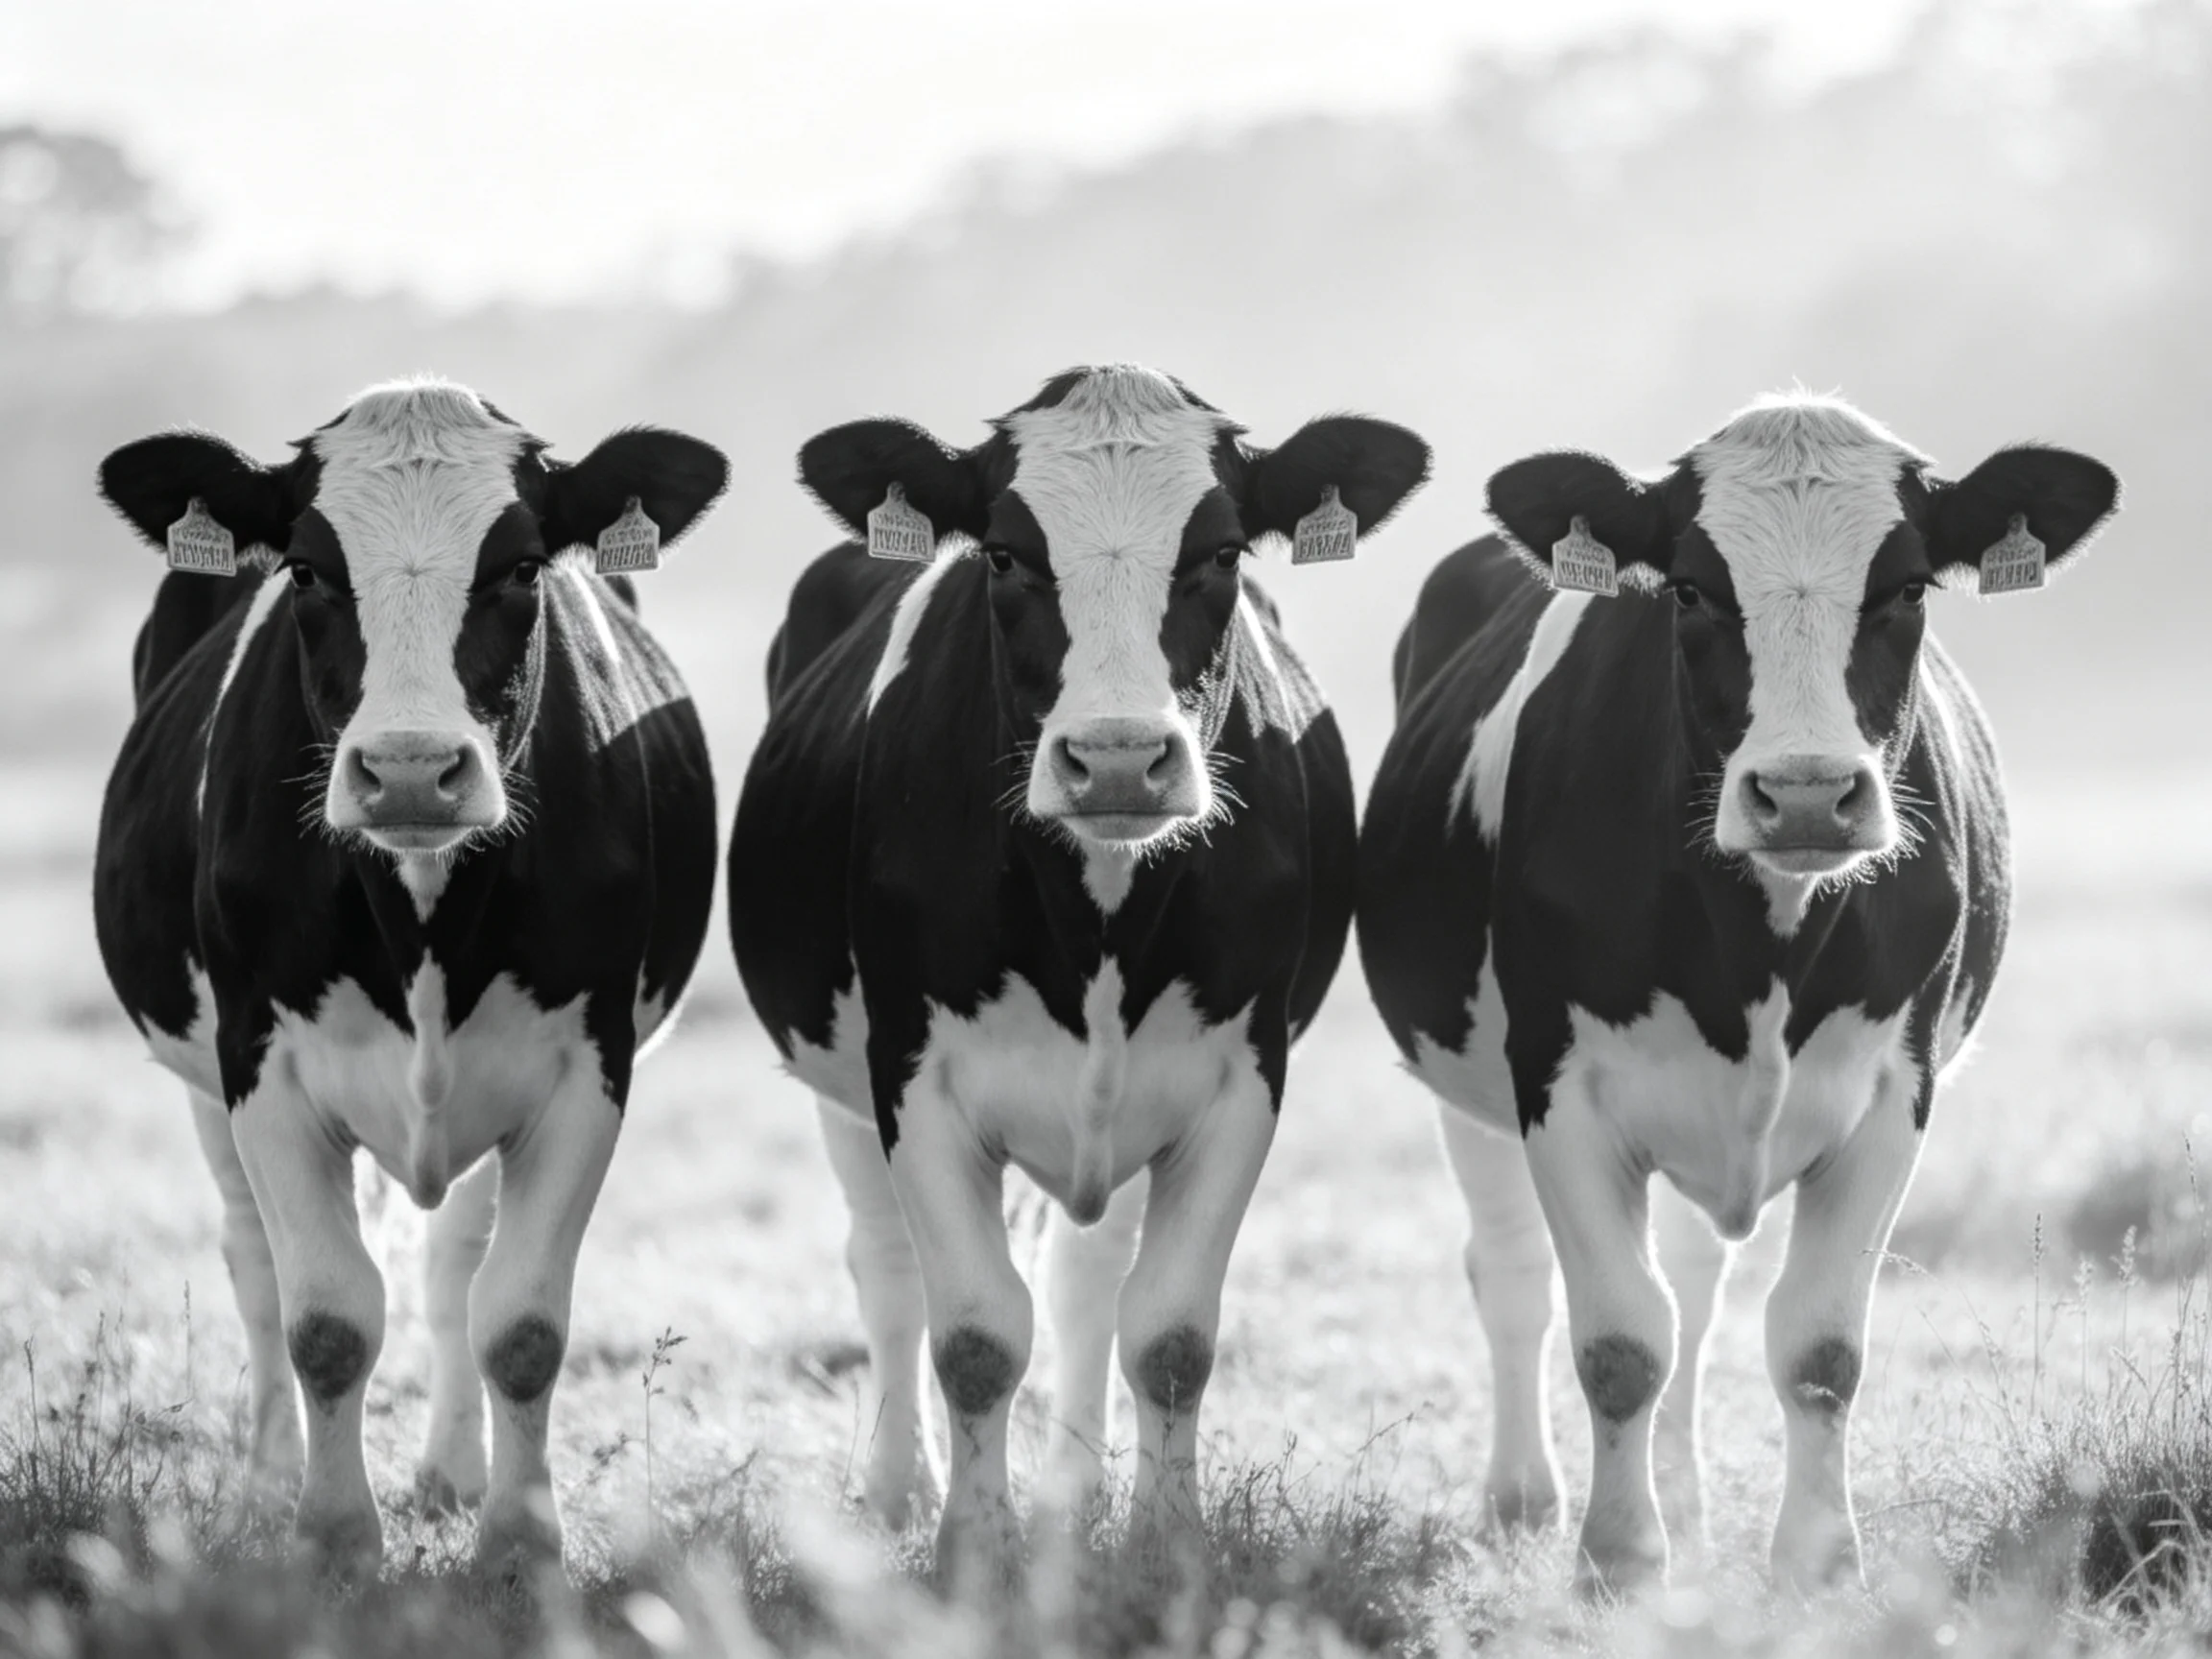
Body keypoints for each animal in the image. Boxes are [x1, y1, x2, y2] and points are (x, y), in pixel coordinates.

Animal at [92, 378, 728, 1579]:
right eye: (305, 569)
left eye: (523, 566)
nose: (410, 772)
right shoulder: (258, 1061)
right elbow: (326, 1320)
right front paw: (333, 1539)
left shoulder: (587, 1064)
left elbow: (518, 1323)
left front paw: (518, 1544)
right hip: (204, 1075)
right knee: (255, 1269)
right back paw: (265, 1483)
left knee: (453, 1263)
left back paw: (452, 1471)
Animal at [728, 365, 1429, 1573]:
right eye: (1006, 556)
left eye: (1223, 552)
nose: (1115, 760)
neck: (1097, 916)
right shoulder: (912, 1074)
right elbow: (973, 1333)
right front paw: (975, 1550)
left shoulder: (1244, 1076)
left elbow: (1169, 1333)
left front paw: (1164, 1547)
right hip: (840, 1077)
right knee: (888, 1270)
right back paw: (899, 1488)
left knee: (1087, 1280)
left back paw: (1072, 1491)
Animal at [1356, 393, 2118, 1592]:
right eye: (1689, 589)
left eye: (1909, 588)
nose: (1805, 794)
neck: (1761, 947)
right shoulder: (1557, 1086)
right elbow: (1621, 1341)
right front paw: (1620, 1563)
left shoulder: (1894, 1092)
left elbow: (1818, 1344)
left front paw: (1816, 1563)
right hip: (1461, 1073)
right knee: (1516, 1274)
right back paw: (1525, 1500)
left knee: (1695, 1284)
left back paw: (1683, 1500)